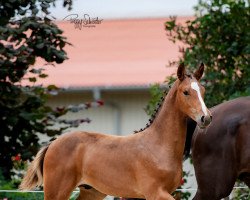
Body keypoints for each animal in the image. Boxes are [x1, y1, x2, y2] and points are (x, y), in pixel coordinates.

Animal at [20, 63, 211, 199]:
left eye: (202, 90)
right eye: (186, 92)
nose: (206, 118)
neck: (158, 146)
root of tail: (52, 145)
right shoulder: (156, 193)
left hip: (91, 192)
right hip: (57, 191)